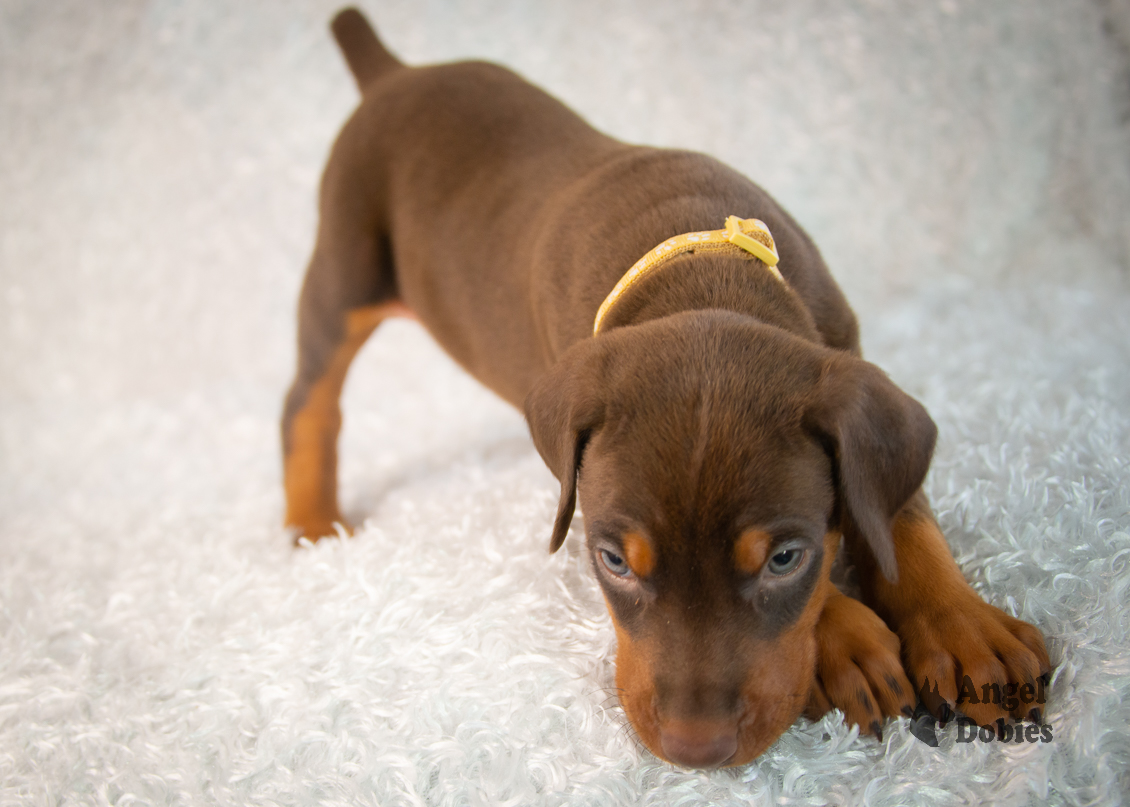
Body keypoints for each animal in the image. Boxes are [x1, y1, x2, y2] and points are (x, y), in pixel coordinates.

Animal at [282, 11, 1048, 768]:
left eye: (784, 557)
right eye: (613, 561)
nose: (694, 748)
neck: (697, 266)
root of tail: (394, 73)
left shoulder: (849, 363)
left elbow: (899, 512)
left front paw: (962, 629)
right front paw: (849, 641)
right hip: (344, 266)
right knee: (307, 401)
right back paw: (312, 526)